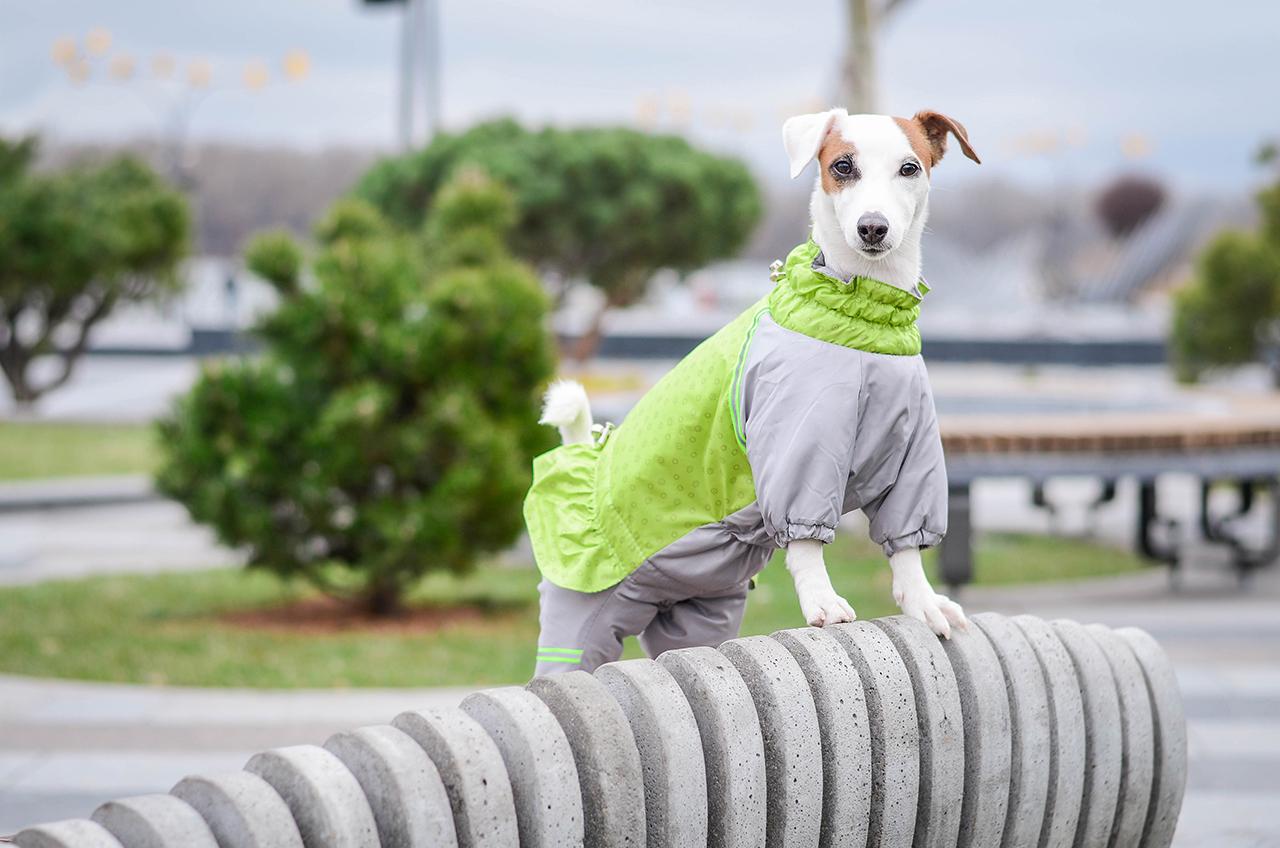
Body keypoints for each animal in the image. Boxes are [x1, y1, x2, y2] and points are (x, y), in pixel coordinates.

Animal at [522, 108, 977, 676]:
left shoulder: (910, 453)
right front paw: (822, 602)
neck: (862, 322)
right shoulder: (798, 449)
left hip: (701, 614)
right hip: (579, 617)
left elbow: (907, 545)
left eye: (910, 167)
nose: (873, 227)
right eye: (841, 166)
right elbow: (805, 538)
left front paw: (923, 602)